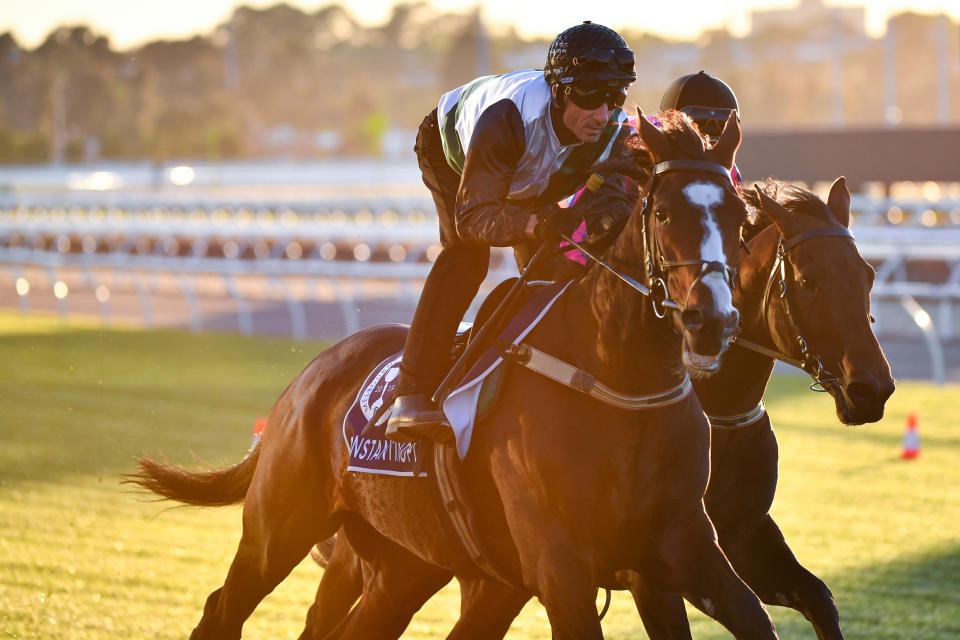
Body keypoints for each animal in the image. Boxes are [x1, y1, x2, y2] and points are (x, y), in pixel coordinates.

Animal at [129, 112, 780, 640]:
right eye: (664, 212)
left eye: (739, 218)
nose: (711, 318)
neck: (618, 383)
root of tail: (308, 378)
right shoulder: (559, 565)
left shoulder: (682, 547)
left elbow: (757, 618)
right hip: (280, 527)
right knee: (223, 608)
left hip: (409, 565)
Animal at [304, 176, 896, 640]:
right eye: (809, 280)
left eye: (867, 275)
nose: (872, 387)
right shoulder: (641, 571)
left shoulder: (737, 537)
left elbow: (818, 598)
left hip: (430, 567)